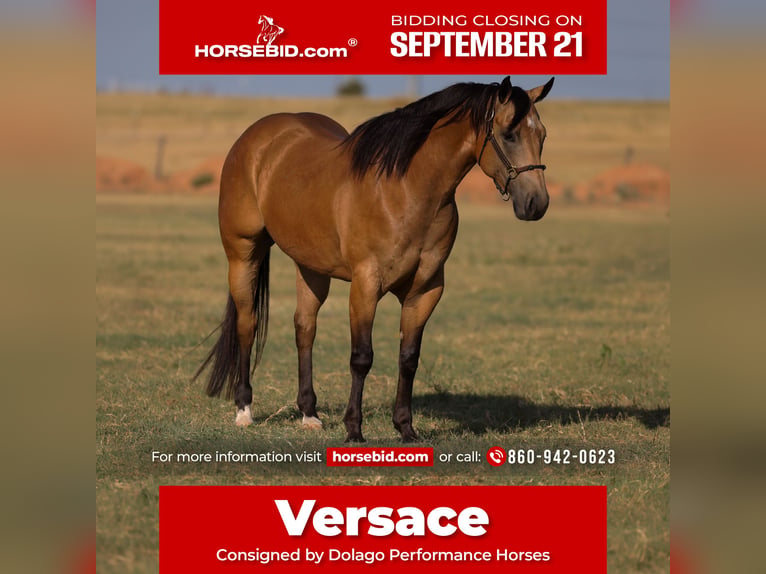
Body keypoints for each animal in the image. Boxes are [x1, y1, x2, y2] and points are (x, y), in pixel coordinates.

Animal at [194, 76, 554, 442]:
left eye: (541, 135)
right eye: (509, 134)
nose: (536, 203)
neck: (406, 189)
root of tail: (256, 137)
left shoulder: (425, 290)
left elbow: (409, 358)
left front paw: (406, 428)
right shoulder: (366, 286)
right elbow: (362, 357)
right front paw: (354, 429)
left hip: (311, 266)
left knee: (305, 328)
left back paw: (309, 414)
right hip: (243, 254)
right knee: (247, 323)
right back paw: (244, 410)